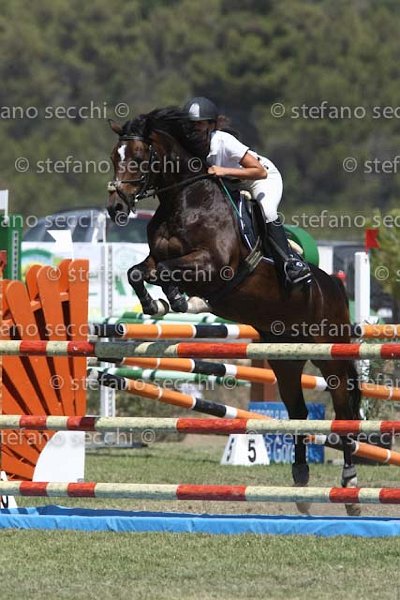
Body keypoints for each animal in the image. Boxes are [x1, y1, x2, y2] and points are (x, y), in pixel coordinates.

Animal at [107, 107, 361, 516]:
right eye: (115, 157)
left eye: (140, 157)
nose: (116, 207)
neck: (184, 199)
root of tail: (336, 285)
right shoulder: (159, 258)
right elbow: (139, 271)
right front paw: (160, 302)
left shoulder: (213, 267)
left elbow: (167, 271)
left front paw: (178, 300)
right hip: (285, 357)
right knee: (298, 412)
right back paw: (302, 483)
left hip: (330, 355)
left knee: (344, 412)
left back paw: (350, 488)